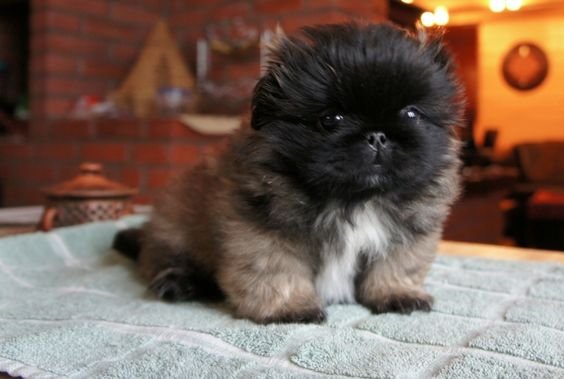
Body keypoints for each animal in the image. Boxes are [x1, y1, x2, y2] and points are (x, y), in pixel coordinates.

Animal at [114, 21, 462, 324]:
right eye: (330, 119)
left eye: (411, 114)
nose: (377, 135)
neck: (355, 198)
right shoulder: (263, 229)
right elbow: (276, 270)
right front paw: (288, 307)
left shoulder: (409, 229)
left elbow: (399, 263)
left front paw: (397, 293)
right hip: (175, 229)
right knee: (161, 259)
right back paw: (178, 282)